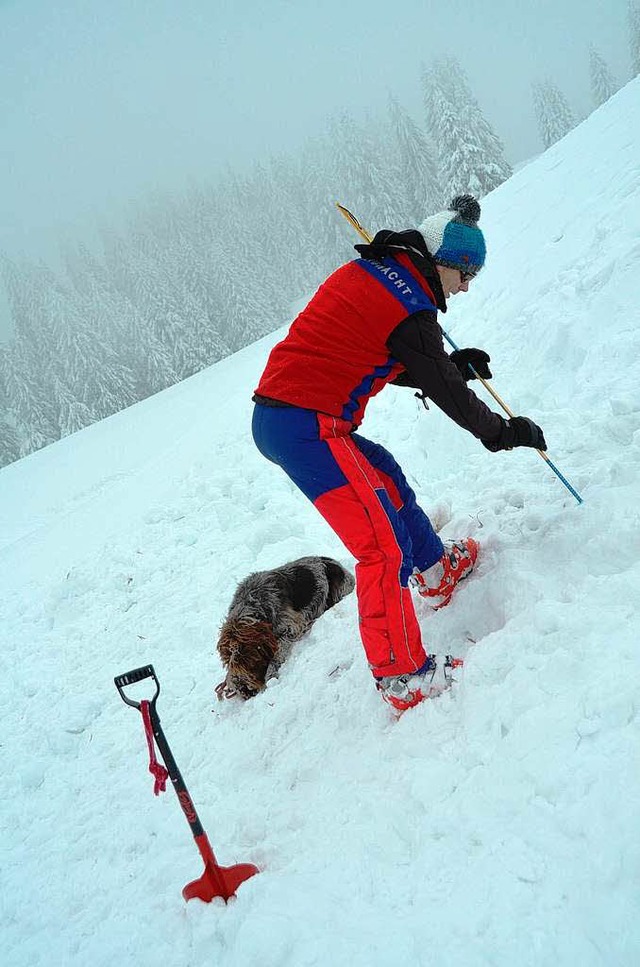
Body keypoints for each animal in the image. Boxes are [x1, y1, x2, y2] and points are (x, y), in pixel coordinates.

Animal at [215, 556, 356, 700]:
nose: (243, 690)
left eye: (250, 661)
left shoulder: (290, 627)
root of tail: (333, 562)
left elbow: (277, 655)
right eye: (229, 664)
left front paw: (270, 676)